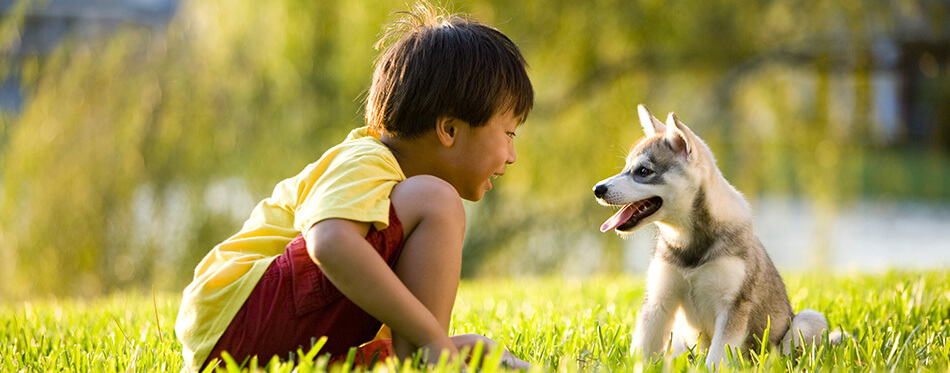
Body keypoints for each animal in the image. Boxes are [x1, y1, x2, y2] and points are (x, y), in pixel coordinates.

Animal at [596, 104, 832, 366]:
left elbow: (717, 356)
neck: (688, 243)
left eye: (644, 171)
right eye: (626, 168)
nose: (597, 189)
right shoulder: (659, 301)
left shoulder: (732, 307)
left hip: (809, 321)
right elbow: (641, 350)